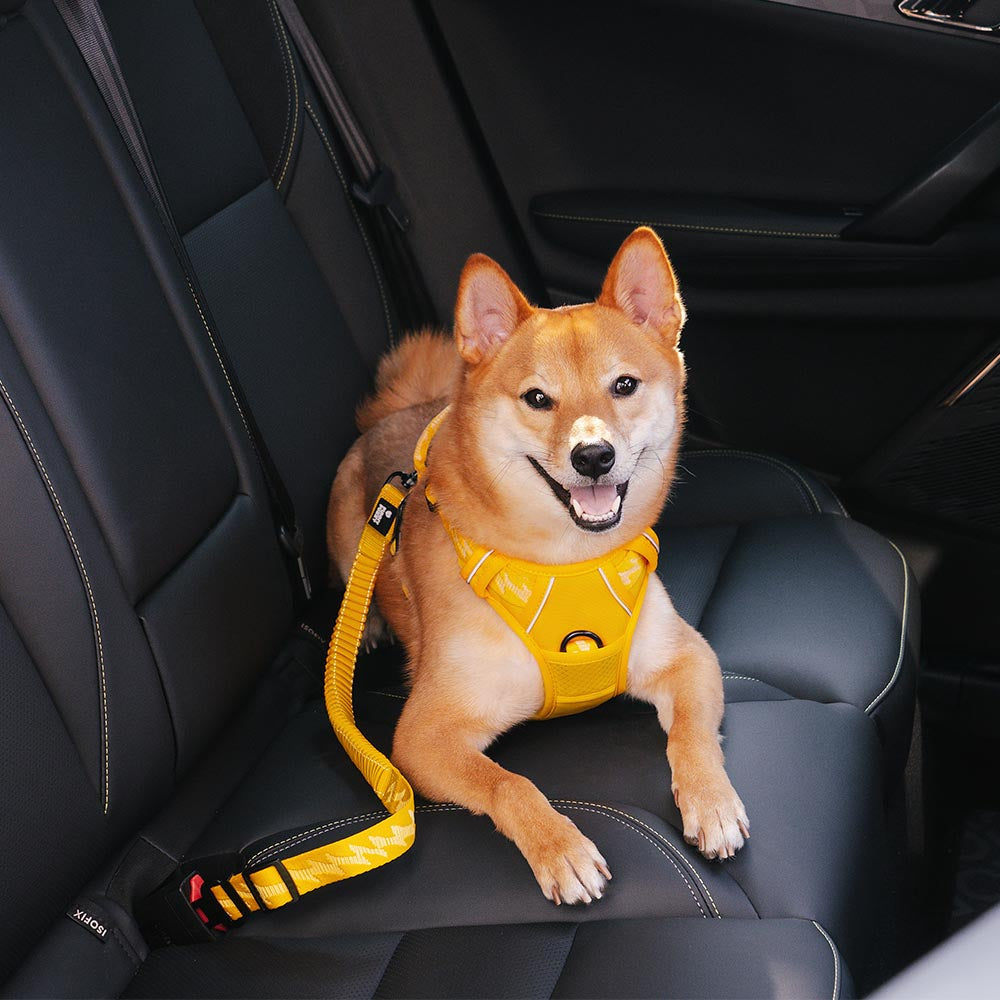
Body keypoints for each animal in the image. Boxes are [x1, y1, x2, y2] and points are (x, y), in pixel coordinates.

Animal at [330, 227, 752, 908]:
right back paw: (366, 625)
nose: (593, 455)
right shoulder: (423, 735)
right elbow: (510, 783)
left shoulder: (686, 657)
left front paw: (710, 801)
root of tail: (403, 409)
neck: (565, 561)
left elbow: (690, 735)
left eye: (624, 386)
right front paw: (560, 848)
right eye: (536, 398)